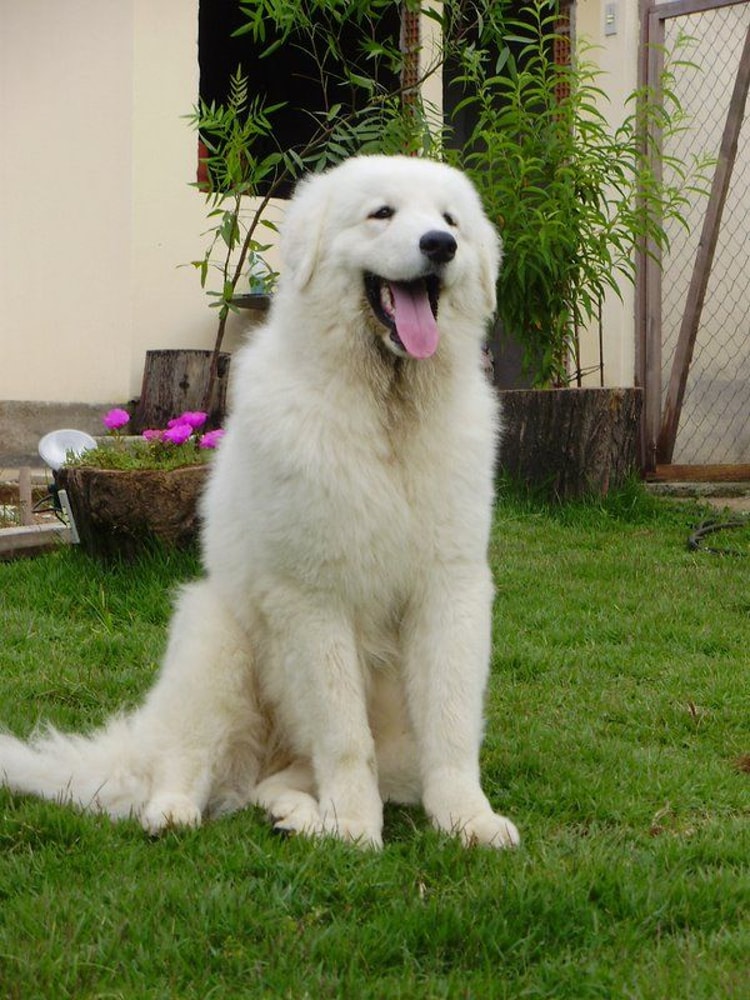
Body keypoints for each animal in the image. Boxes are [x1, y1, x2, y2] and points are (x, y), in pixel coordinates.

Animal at [0, 156, 520, 852]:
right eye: (382, 213)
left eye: (450, 220)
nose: (440, 246)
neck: (386, 412)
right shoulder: (314, 597)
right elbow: (345, 738)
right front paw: (356, 828)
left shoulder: (451, 587)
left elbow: (452, 723)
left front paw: (467, 818)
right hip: (214, 637)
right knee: (188, 759)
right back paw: (176, 813)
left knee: (268, 786)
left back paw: (297, 815)